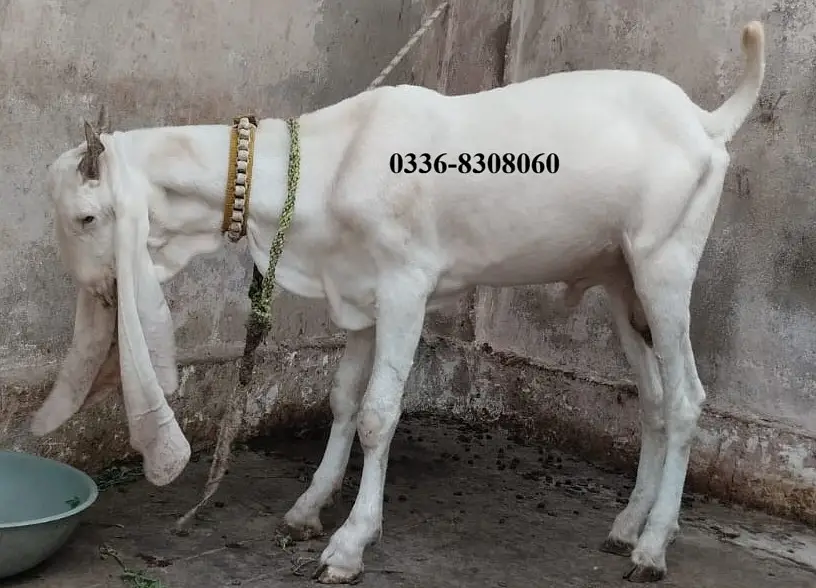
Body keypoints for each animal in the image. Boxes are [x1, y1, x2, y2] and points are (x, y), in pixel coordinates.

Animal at [32, 21, 765, 584]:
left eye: (87, 218)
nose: (101, 290)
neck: (326, 167)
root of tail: (705, 120)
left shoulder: (406, 287)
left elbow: (379, 415)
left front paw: (350, 543)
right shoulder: (359, 293)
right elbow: (342, 399)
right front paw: (307, 508)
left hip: (665, 263)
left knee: (688, 398)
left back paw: (653, 547)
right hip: (620, 279)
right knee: (654, 400)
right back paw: (627, 525)